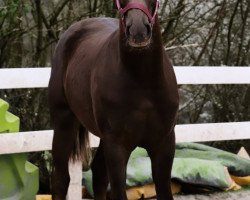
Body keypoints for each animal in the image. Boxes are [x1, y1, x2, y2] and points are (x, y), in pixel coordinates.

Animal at [48, 0, 178, 199]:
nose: (138, 31)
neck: (143, 83)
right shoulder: (117, 145)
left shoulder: (164, 143)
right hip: (64, 122)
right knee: (61, 179)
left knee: (99, 175)